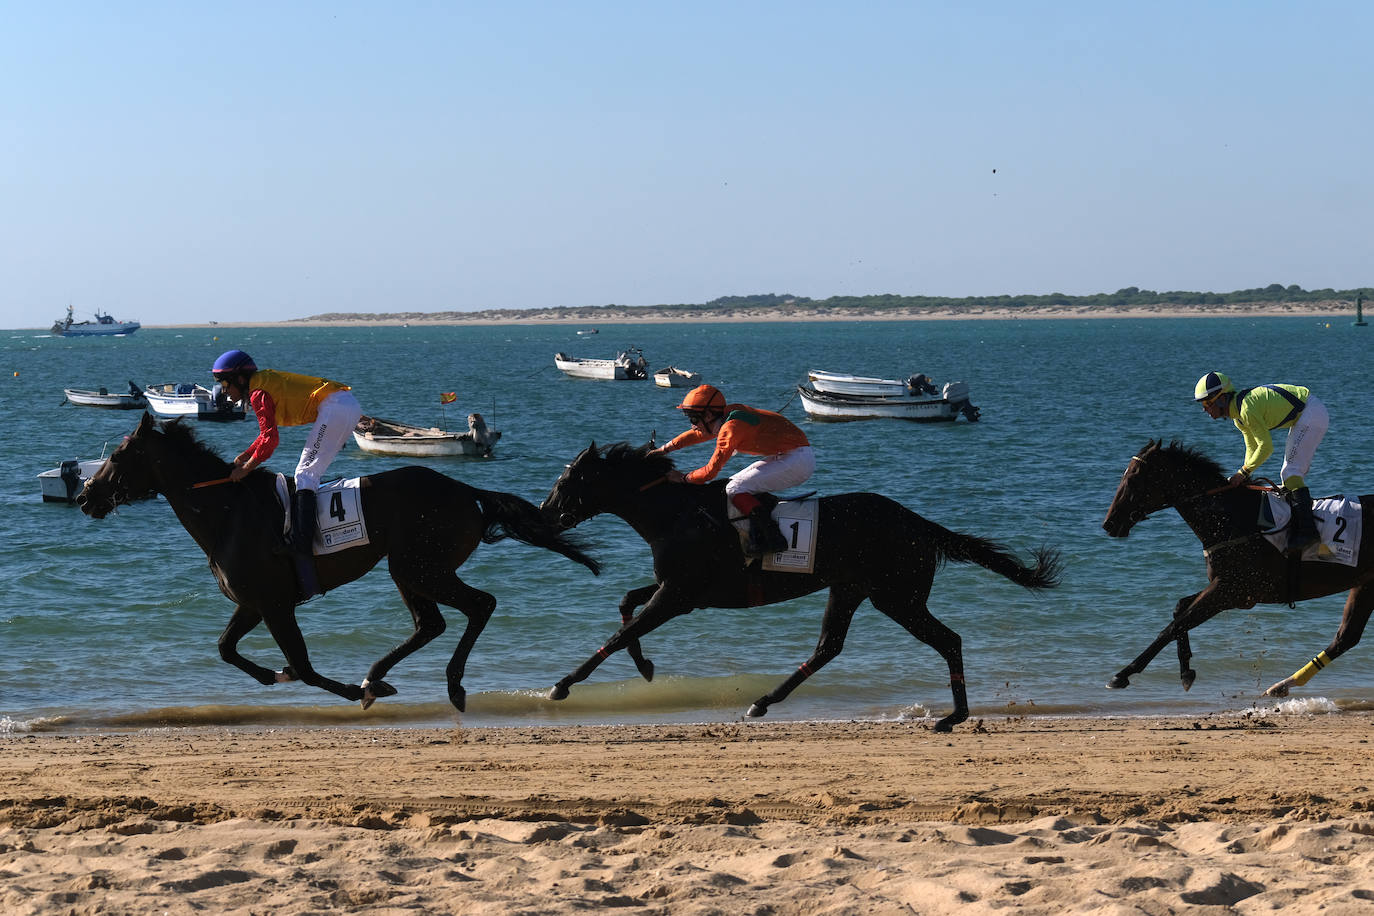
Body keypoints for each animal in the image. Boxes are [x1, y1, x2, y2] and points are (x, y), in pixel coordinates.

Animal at [77, 414, 599, 708]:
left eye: (118, 455)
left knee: (480, 605)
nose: (84, 496)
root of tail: (463, 489)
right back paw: (379, 674)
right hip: (408, 569)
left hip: (420, 566)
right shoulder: (253, 604)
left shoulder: (276, 606)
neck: (228, 512)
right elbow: (225, 648)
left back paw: (443, 685)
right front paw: (273, 674)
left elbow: (304, 667)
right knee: (431, 623)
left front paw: (343, 688)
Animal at [535, 439, 1060, 736]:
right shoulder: (680, 591)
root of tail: (918, 523)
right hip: (852, 590)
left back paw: (952, 716)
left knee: (947, 640)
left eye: (567, 480)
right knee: (830, 646)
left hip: (898, 597)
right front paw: (644, 668)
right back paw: (763, 701)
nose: (543, 515)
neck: (676, 514)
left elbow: (620, 633)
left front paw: (562, 685)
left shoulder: (680, 595)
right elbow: (626, 605)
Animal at [1099, 439, 1374, 697]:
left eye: (1134, 477)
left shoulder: (1233, 591)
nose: (1109, 523)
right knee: (1345, 638)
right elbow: (1179, 611)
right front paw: (1186, 671)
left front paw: (1122, 674)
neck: (1231, 519)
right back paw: (1281, 685)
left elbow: (1173, 627)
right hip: (1364, 585)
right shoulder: (1227, 588)